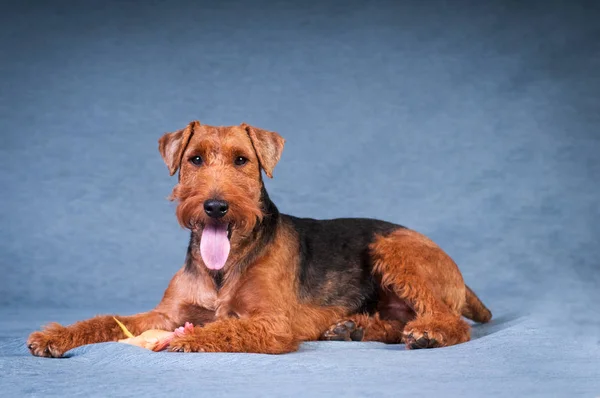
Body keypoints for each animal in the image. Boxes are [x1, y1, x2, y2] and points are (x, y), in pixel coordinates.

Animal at [25, 121, 490, 358]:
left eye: (242, 160)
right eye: (195, 159)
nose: (216, 206)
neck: (222, 269)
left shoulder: (272, 322)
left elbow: (224, 328)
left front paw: (187, 341)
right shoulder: (166, 313)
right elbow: (107, 320)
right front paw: (53, 337)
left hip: (392, 250)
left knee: (449, 320)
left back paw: (426, 333)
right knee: (396, 323)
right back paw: (353, 329)